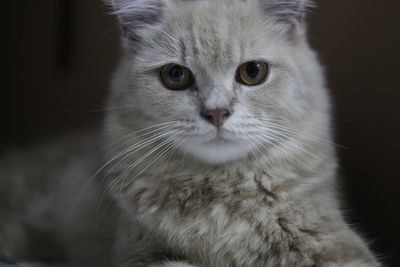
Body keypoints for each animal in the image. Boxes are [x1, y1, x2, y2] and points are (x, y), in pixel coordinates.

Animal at [101, 0, 380, 266]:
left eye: (253, 71)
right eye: (175, 75)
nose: (216, 112)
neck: (221, 190)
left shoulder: (329, 242)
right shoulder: (136, 252)